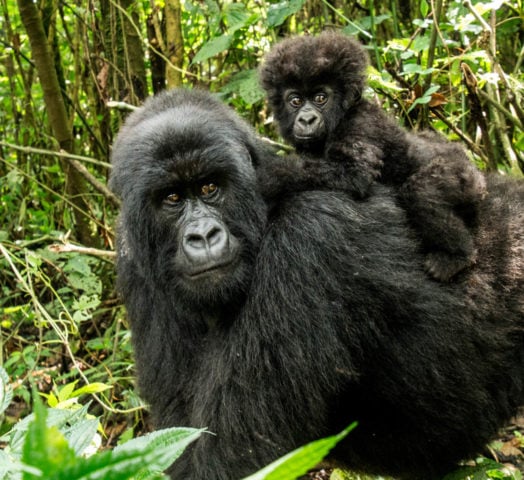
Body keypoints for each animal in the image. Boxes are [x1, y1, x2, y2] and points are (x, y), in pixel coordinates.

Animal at [109, 88, 524, 478]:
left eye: (211, 188)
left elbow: (230, 460)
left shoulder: (309, 239)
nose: (204, 236)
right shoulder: (134, 264)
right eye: (172, 198)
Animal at [258, 31, 488, 282]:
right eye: (295, 101)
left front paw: (270, 174)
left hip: (465, 176)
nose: (307, 119)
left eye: (320, 98)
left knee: (422, 191)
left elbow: (354, 172)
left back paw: (457, 256)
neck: (344, 113)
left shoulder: (360, 123)